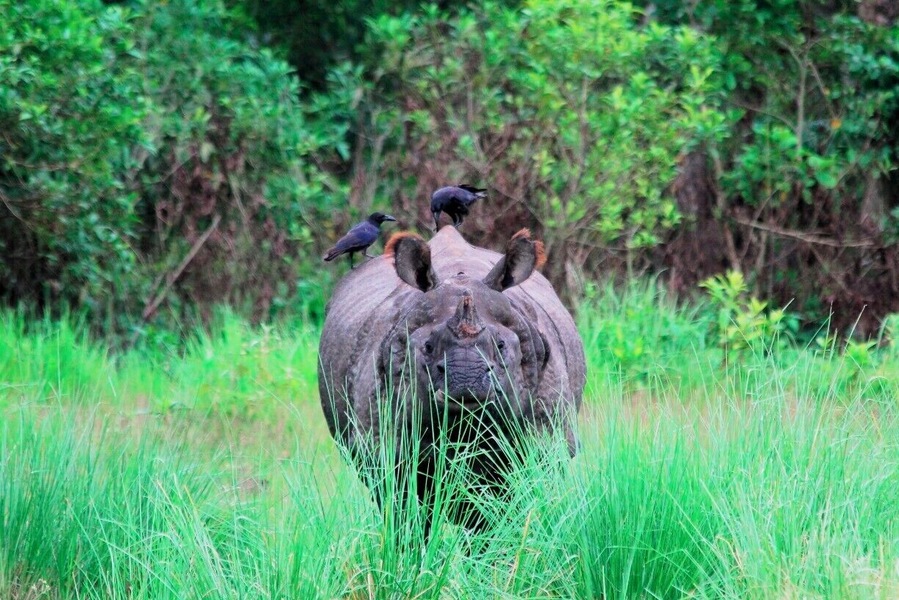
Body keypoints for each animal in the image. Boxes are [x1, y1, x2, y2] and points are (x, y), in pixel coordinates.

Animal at [318, 226, 585, 533]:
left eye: (501, 346)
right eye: (428, 347)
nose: (466, 383)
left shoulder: (544, 441)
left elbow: (508, 512)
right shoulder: (382, 448)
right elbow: (404, 513)